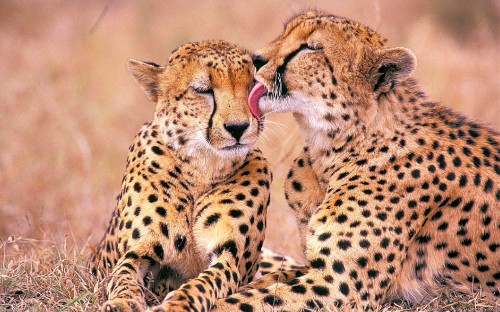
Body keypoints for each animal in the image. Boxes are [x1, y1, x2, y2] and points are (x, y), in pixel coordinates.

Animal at [88, 40, 274, 310]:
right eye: (202, 90)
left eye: (252, 86)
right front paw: (123, 301)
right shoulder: (139, 250)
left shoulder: (230, 258)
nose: (238, 127)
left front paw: (177, 303)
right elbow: (123, 275)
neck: (202, 169)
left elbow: (204, 282)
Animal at [215, 10, 500, 312]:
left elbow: (239, 302)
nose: (255, 59)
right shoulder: (314, 268)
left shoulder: (339, 286)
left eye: (311, 48)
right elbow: (255, 284)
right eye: (285, 32)